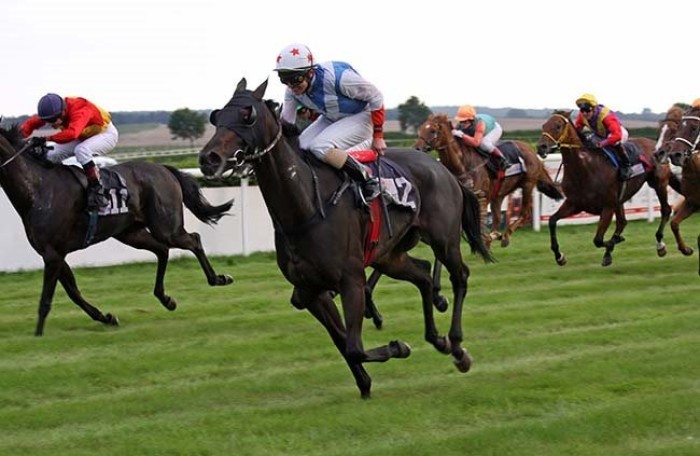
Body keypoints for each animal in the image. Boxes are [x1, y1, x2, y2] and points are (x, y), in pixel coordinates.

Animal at [0, 124, 235, 334]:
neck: (38, 189)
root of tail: (163, 168)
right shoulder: (53, 254)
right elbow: (73, 292)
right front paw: (106, 317)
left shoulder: (53, 254)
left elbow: (48, 298)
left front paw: (38, 335)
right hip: (131, 233)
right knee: (162, 250)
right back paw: (165, 298)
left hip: (166, 227)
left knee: (193, 240)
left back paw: (218, 279)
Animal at [416, 112, 564, 248]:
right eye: (421, 128)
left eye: (432, 130)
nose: (417, 148)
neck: (462, 165)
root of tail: (531, 150)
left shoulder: (481, 197)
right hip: (499, 193)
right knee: (497, 218)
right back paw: (494, 237)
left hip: (527, 184)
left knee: (524, 213)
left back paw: (504, 236)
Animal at [536, 111, 680, 268]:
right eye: (543, 125)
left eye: (558, 126)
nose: (541, 147)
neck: (584, 168)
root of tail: (657, 147)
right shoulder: (574, 204)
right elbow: (552, 221)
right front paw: (559, 256)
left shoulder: (607, 207)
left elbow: (598, 240)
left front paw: (613, 244)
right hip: (620, 199)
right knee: (622, 222)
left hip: (658, 183)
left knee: (665, 210)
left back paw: (660, 245)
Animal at [652, 105, 700, 272]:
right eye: (659, 130)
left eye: (673, 130)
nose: (658, 153)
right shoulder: (692, 201)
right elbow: (674, 223)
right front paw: (686, 249)